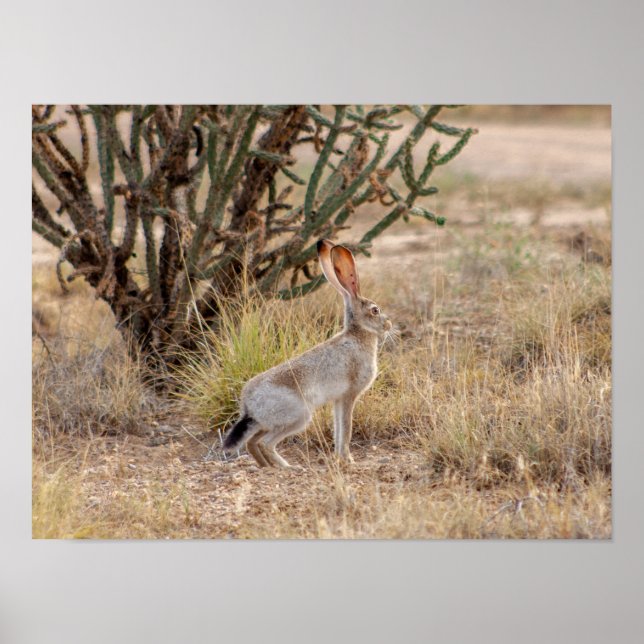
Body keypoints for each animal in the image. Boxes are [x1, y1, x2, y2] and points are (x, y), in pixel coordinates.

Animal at [222, 239, 392, 468]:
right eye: (375, 310)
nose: (389, 325)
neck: (357, 334)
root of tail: (248, 404)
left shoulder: (338, 399)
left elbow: (338, 429)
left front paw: (339, 457)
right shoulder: (348, 395)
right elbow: (346, 429)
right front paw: (348, 460)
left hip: (265, 423)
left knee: (252, 443)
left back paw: (268, 467)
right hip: (298, 416)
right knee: (265, 443)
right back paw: (288, 468)